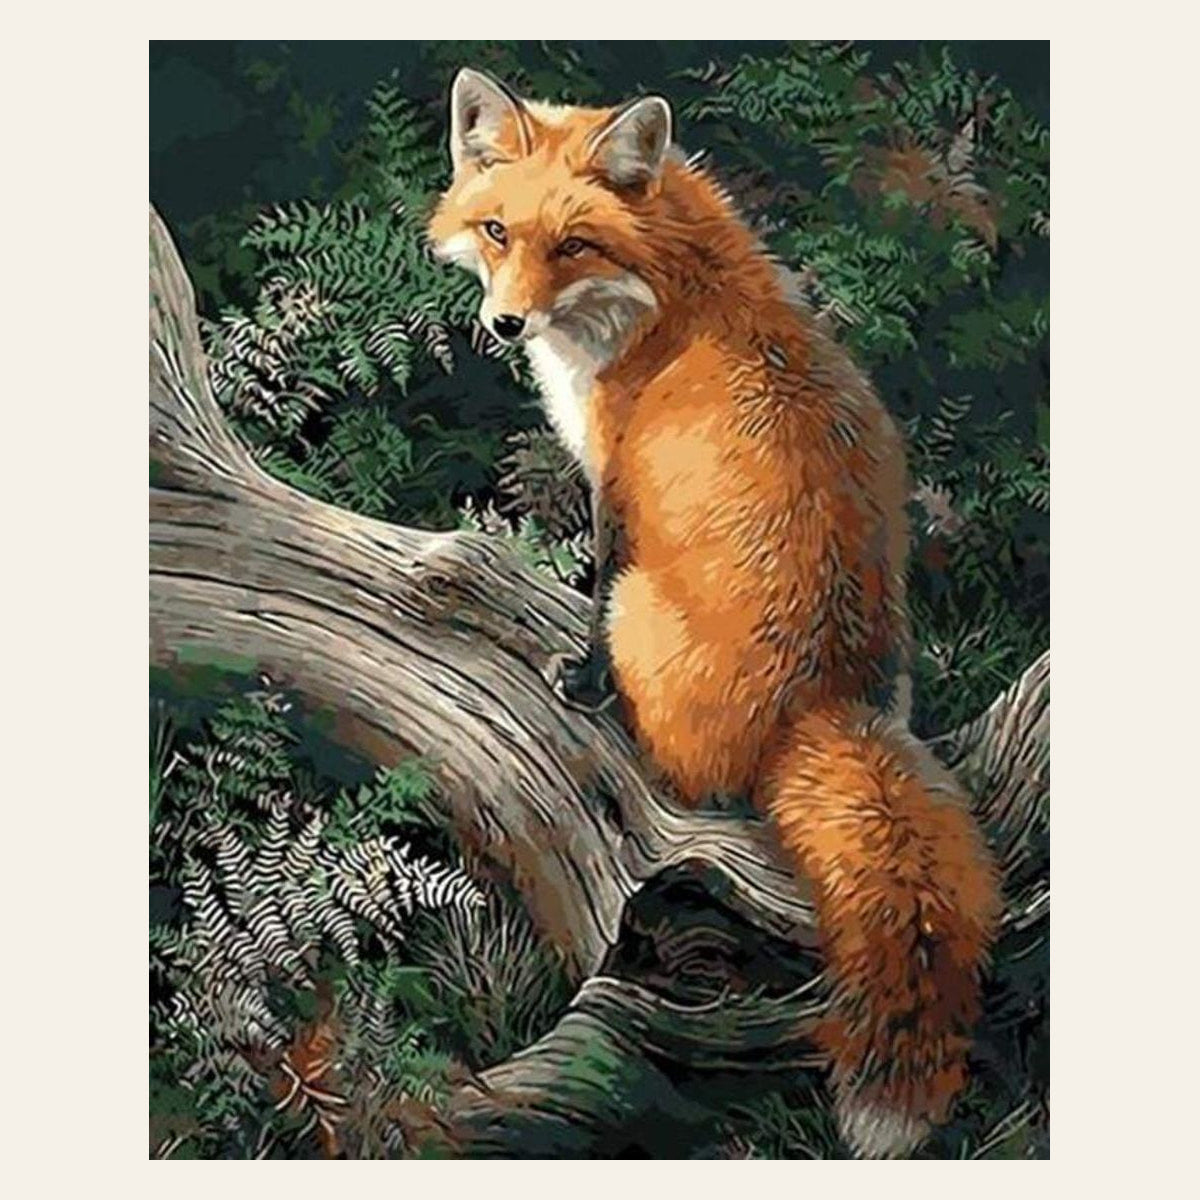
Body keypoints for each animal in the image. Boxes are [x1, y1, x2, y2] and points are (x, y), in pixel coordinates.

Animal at [428, 68, 1002, 1159]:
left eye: (573, 244)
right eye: (496, 230)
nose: (506, 325)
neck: (672, 290)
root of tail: (824, 706)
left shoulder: (615, 484)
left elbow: (594, 585)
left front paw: (579, 679)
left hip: (648, 613)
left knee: (683, 769)